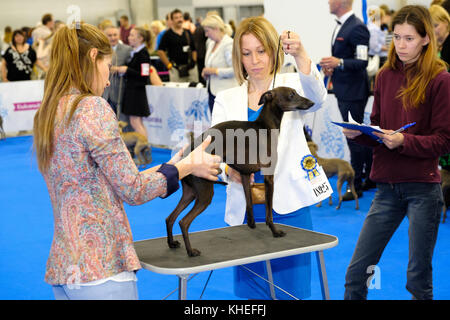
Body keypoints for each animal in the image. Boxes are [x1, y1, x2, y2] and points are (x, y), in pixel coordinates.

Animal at [163, 86, 314, 256]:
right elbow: (269, 212)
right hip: (205, 193)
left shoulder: (245, 175)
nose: (312, 102)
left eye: (296, 92)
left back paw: (172, 243)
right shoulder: (269, 176)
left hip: (191, 192)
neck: (265, 127)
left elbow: (249, 202)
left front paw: (252, 224)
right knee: (183, 222)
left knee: (170, 218)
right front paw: (275, 231)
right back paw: (191, 251)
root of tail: (185, 157)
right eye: (291, 94)